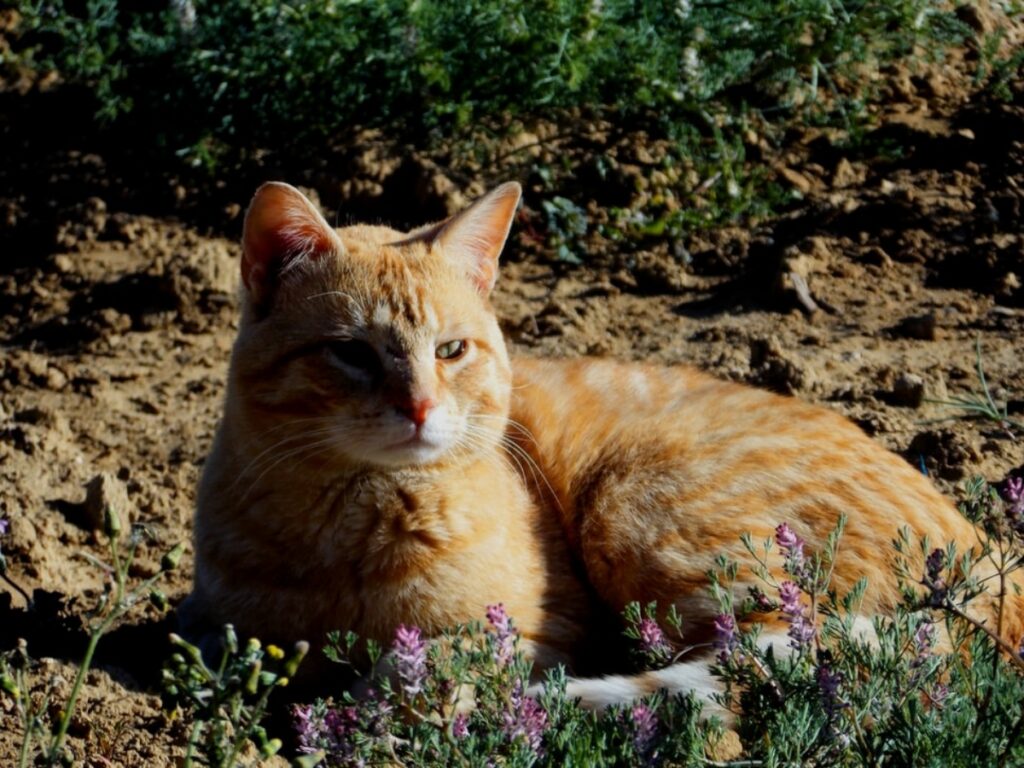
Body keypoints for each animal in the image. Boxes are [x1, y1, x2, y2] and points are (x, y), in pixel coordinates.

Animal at [186, 180, 1024, 708]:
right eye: (352, 353)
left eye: (451, 351)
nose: (419, 407)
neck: (348, 528)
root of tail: (994, 560)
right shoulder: (215, 628)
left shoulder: (538, 630)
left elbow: (412, 663)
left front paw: (369, 710)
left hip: (638, 510)